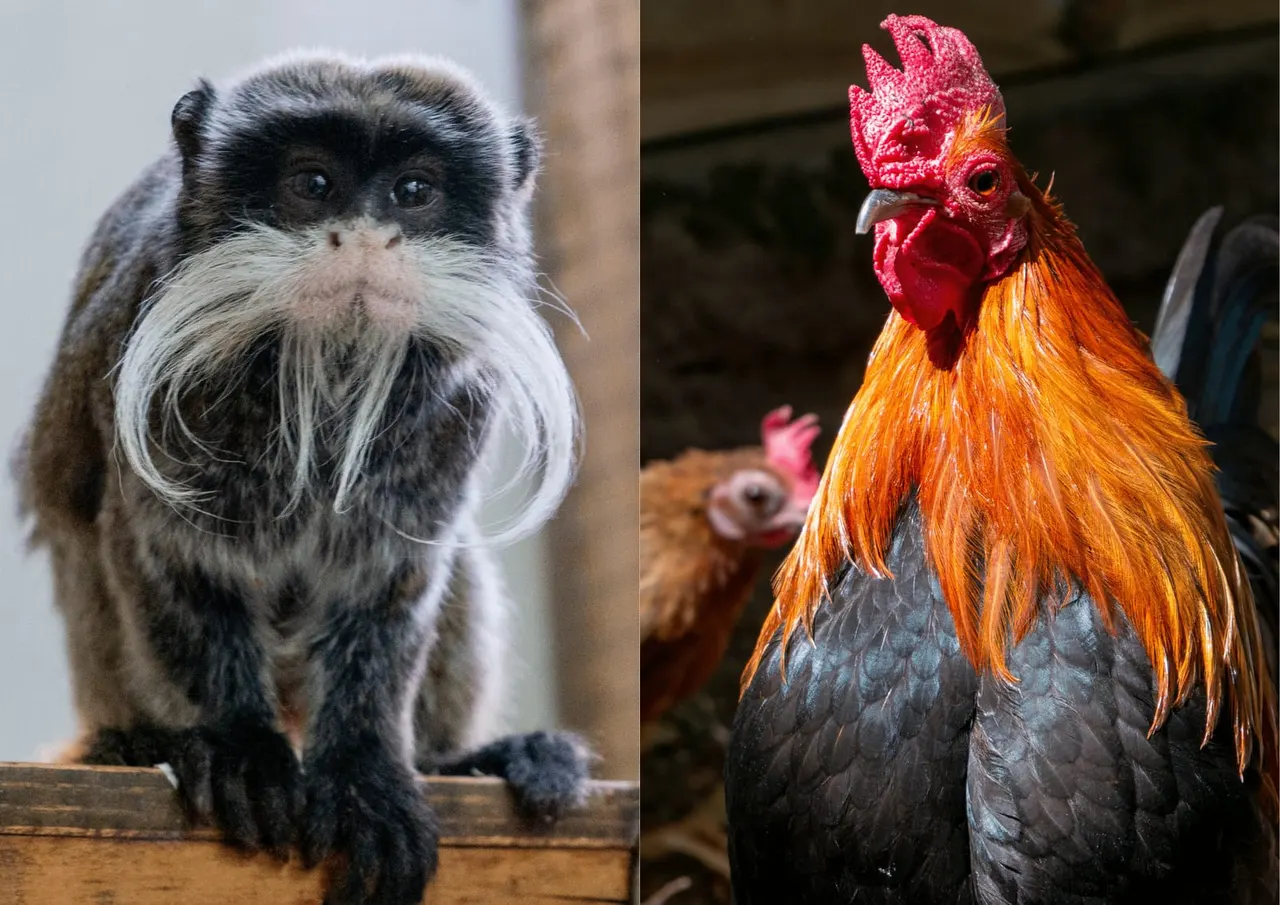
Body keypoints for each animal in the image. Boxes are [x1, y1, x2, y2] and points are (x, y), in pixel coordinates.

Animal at [15, 51, 593, 905]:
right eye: (313, 183)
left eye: (413, 191)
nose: (365, 237)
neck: (324, 374)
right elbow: (169, 556)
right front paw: (239, 747)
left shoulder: (458, 414)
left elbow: (391, 582)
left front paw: (364, 774)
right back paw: (136, 743)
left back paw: (468, 760)